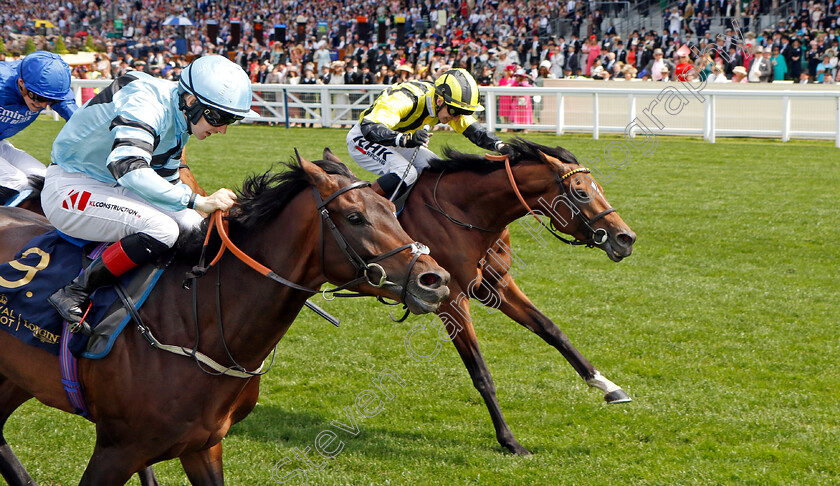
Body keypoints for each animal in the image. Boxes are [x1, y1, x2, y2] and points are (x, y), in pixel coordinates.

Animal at [0, 154, 450, 484]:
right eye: (356, 217)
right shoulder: (117, 448)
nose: (435, 280)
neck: (197, 321)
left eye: (392, 208)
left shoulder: (204, 445)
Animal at [324, 138, 632, 456]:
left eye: (600, 188)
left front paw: (607, 385)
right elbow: (481, 373)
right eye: (581, 192)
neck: (466, 214)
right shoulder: (452, 302)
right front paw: (509, 440)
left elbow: (551, 329)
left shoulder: (498, 286)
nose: (626, 238)